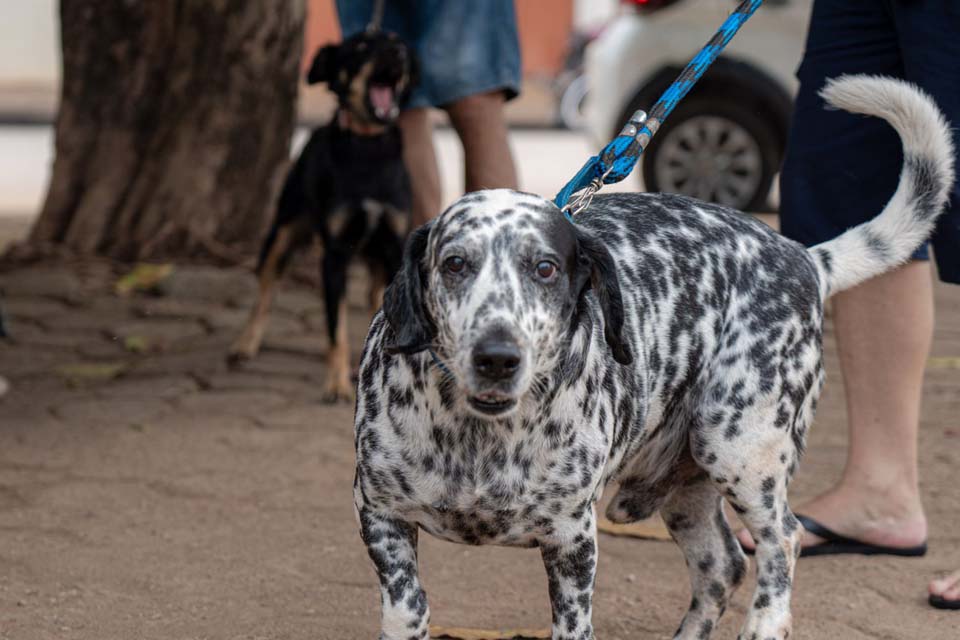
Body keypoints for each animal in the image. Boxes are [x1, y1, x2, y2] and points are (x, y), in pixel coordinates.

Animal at [230, 32, 420, 400]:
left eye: (397, 41)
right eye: (360, 47)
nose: (398, 53)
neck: (368, 147)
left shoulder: (393, 247)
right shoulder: (334, 254)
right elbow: (336, 329)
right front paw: (336, 383)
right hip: (282, 233)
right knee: (265, 291)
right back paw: (245, 344)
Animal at [350, 76, 952, 640]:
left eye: (545, 268)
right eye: (454, 263)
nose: (497, 357)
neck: (478, 441)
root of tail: (804, 258)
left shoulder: (572, 542)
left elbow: (572, 623)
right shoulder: (380, 515)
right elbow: (407, 608)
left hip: (739, 449)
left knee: (782, 538)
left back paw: (767, 620)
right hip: (688, 489)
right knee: (723, 567)